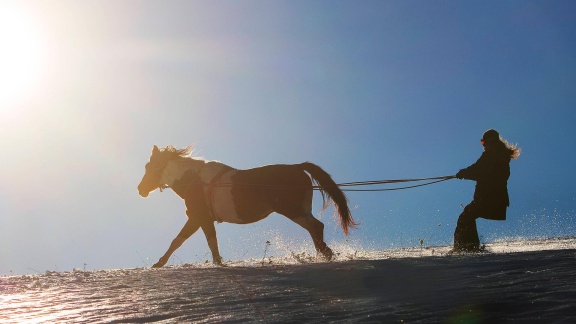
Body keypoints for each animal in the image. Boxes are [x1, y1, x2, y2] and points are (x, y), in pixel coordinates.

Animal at [138, 146, 358, 268]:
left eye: (149, 167)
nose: (140, 189)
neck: (196, 181)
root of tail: (297, 167)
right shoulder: (201, 220)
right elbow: (202, 242)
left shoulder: (198, 218)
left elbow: (186, 241)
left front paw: (159, 263)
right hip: (299, 211)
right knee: (315, 228)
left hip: (293, 211)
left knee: (316, 227)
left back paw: (324, 255)